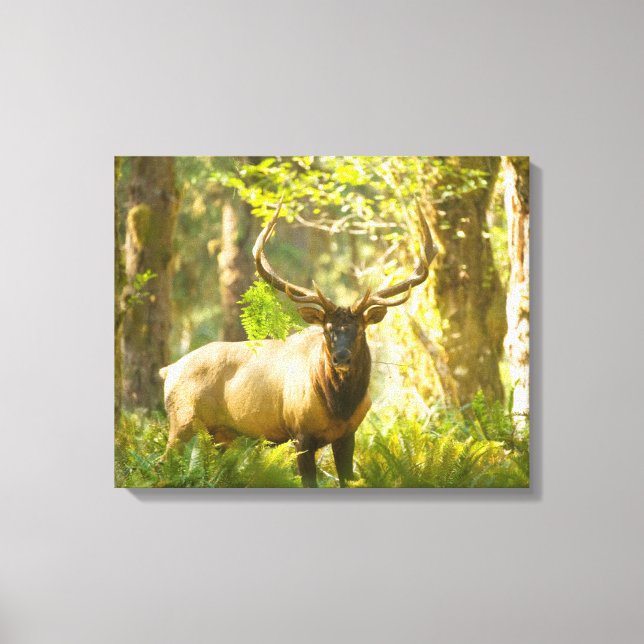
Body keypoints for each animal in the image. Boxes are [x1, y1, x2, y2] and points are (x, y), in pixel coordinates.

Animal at [159, 198, 437, 487]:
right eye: (326, 330)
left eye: (360, 331)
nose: (341, 358)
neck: (339, 407)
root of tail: (168, 370)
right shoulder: (300, 433)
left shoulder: (348, 434)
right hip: (182, 421)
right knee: (162, 463)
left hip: (221, 435)